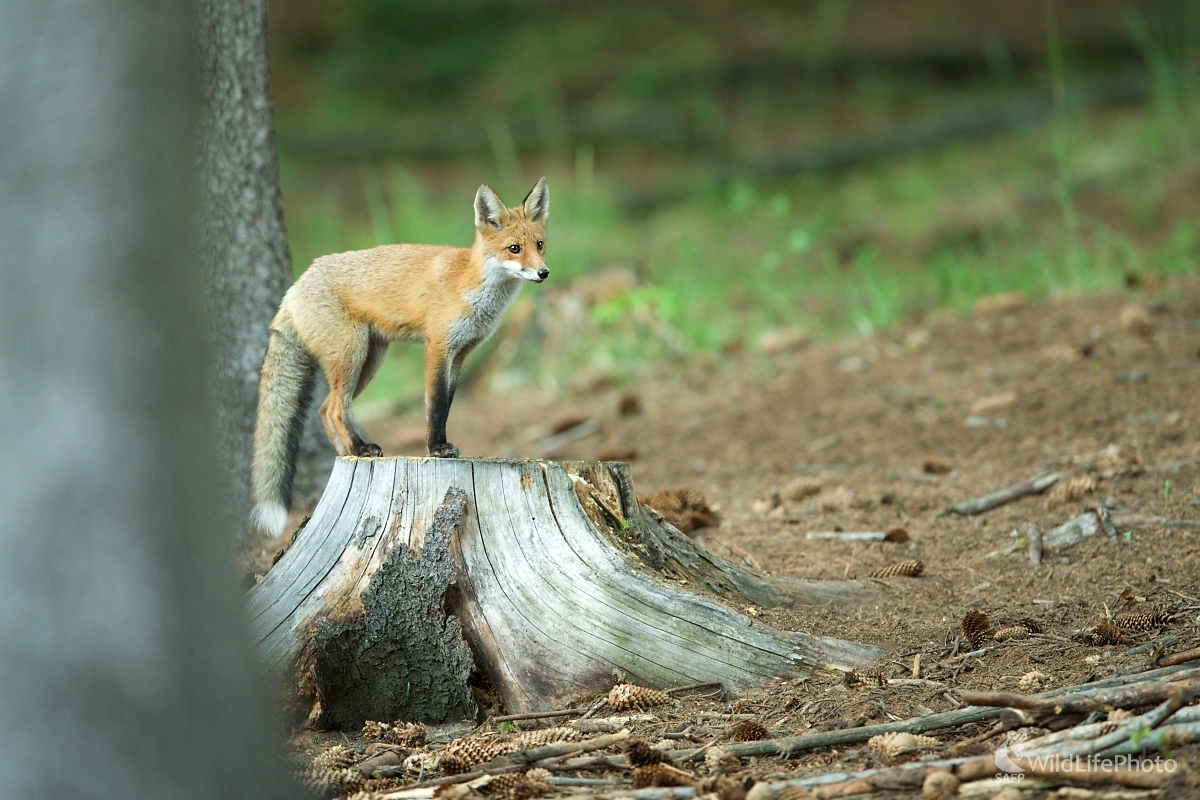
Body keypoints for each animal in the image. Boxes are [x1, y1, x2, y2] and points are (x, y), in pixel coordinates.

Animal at [255, 178, 554, 534]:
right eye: (514, 249)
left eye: (540, 245)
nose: (544, 273)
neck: (472, 287)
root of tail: (295, 286)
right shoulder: (437, 346)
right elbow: (435, 405)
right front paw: (436, 448)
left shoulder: (461, 353)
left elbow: (447, 405)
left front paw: (441, 444)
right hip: (352, 353)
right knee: (337, 408)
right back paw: (359, 448)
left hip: (370, 360)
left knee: (326, 408)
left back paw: (348, 453)